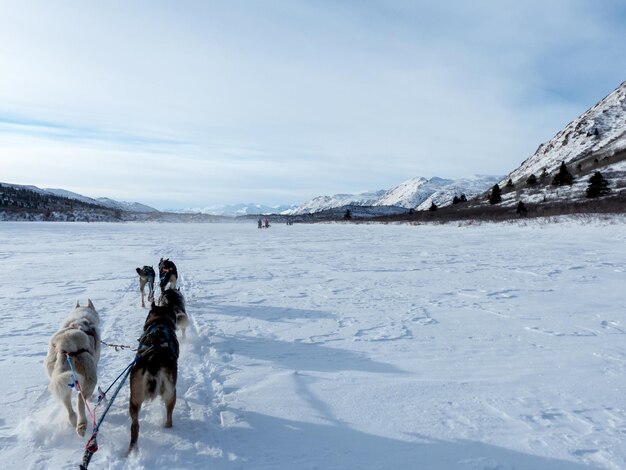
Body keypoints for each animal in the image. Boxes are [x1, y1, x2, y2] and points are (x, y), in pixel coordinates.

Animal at [44, 302, 100, 436]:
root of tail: (65, 343)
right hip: (90, 378)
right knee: (80, 400)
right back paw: (82, 424)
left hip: (61, 379)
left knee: (67, 401)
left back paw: (74, 420)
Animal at [127, 300, 179, 454]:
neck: (160, 322)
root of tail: (153, 359)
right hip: (171, 393)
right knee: (169, 417)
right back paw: (168, 427)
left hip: (134, 399)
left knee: (135, 426)